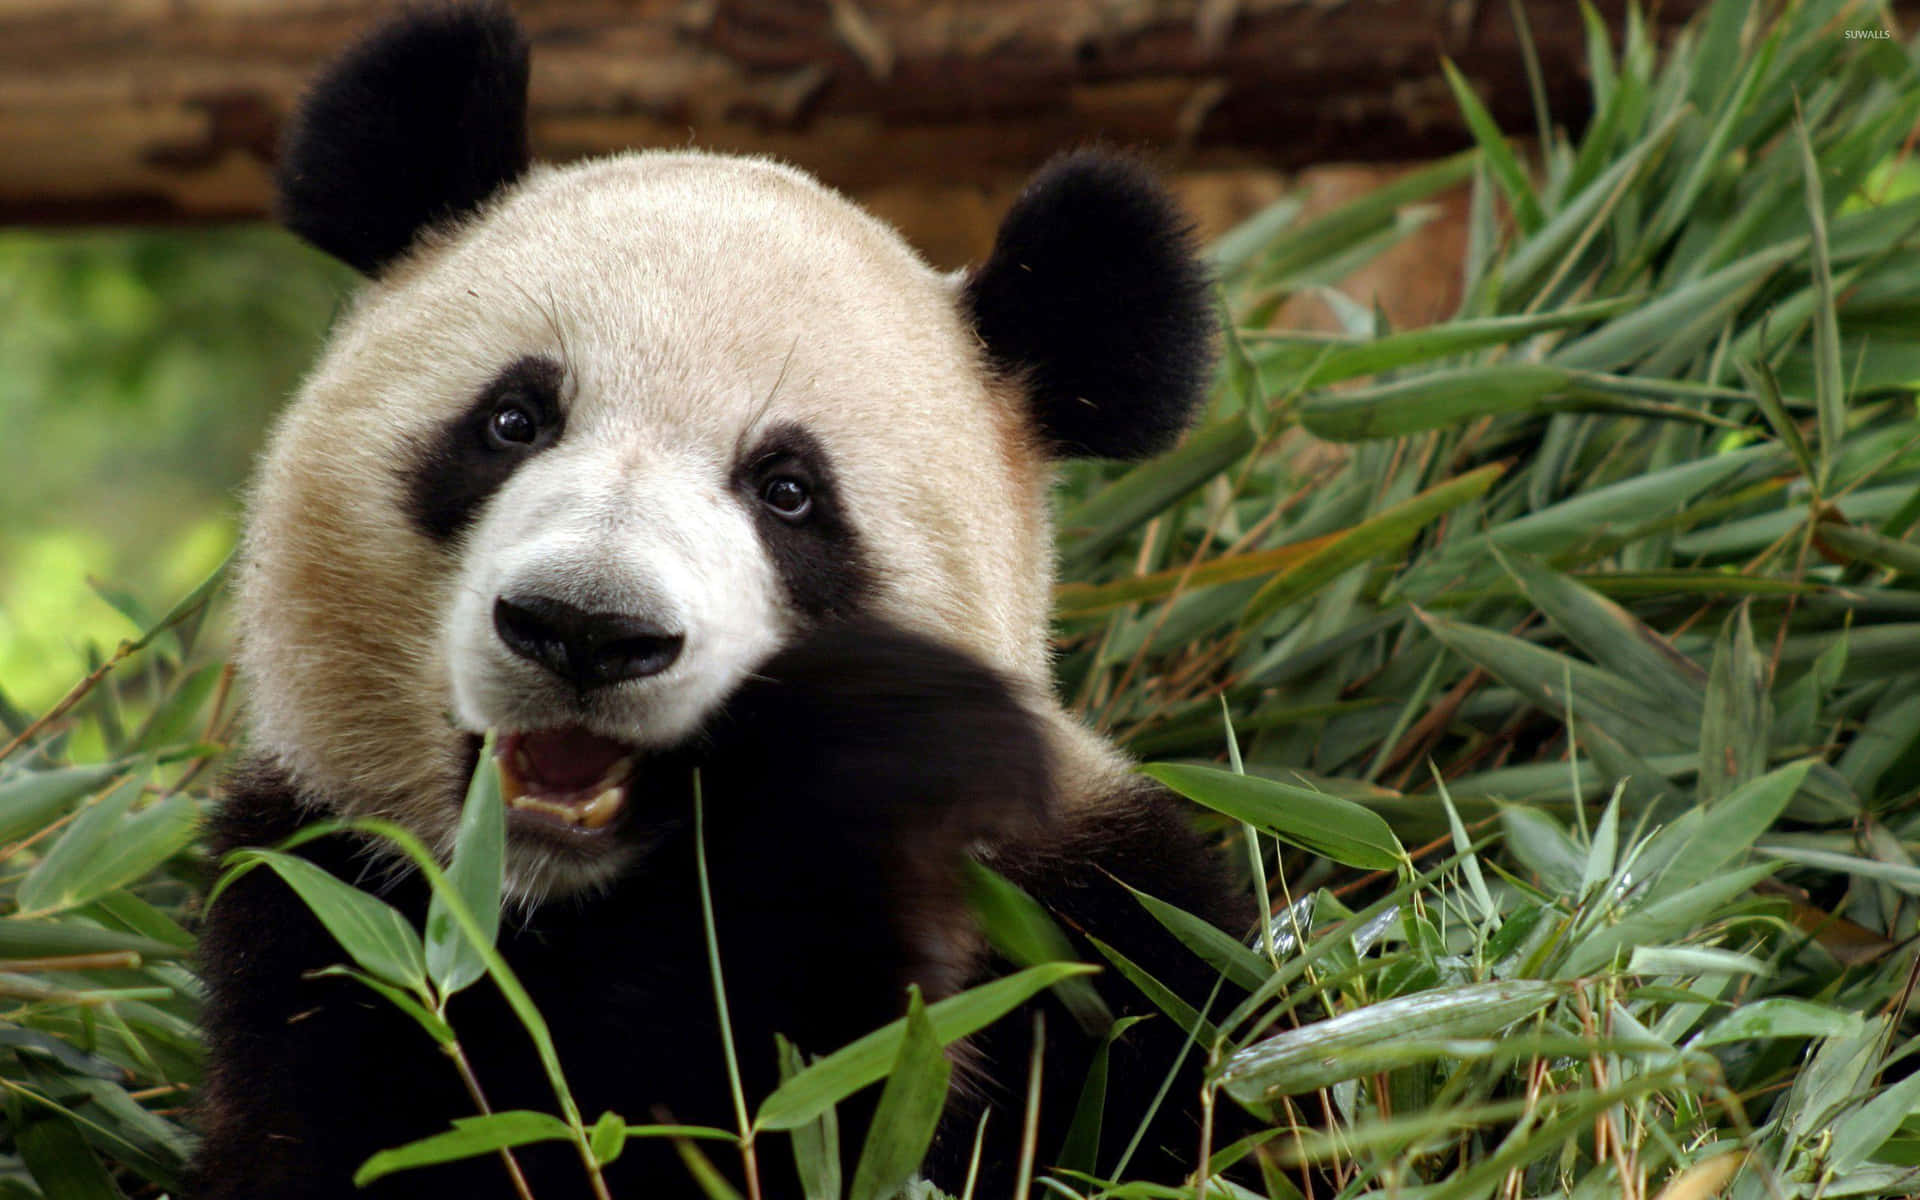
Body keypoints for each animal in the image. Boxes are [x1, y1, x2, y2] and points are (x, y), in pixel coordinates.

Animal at [193, 4, 1254, 1197]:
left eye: (788, 491)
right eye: (513, 420)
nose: (586, 630)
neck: (567, 905)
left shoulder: (1104, 931)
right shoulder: (326, 913)